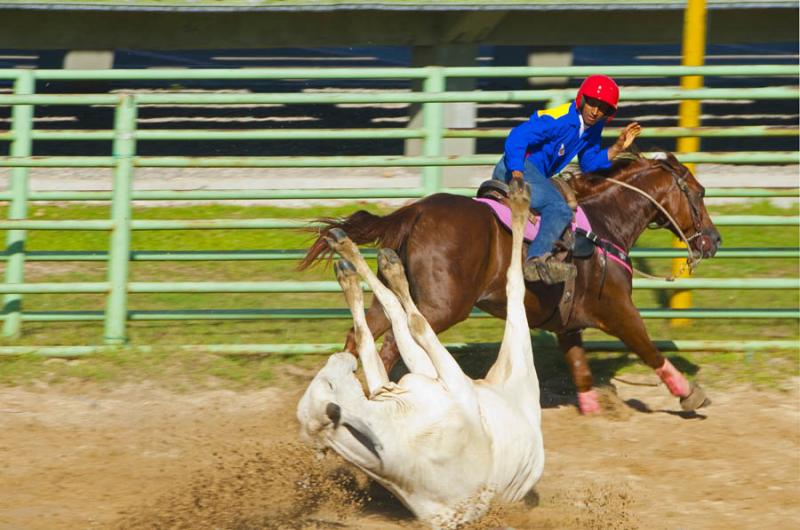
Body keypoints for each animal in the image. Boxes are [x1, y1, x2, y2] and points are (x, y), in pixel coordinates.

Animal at [296, 179, 548, 524]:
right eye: (329, 383)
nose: (339, 359)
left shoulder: (406, 385)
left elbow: (373, 335)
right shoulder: (449, 383)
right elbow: (412, 323)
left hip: (430, 371)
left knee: (394, 318)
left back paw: (354, 256)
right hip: (509, 354)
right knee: (511, 285)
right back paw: (519, 200)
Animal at [302, 153, 724, 412]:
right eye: (699, 193)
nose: (713, 241)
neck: (603, 227)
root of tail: (417, 211)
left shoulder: (567, 324)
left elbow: (580, 367)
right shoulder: (619, 310)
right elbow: (650, 350)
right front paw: (690, 394)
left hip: (391, 295)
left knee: (360, 336)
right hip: (441, 306)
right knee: (393, 344)